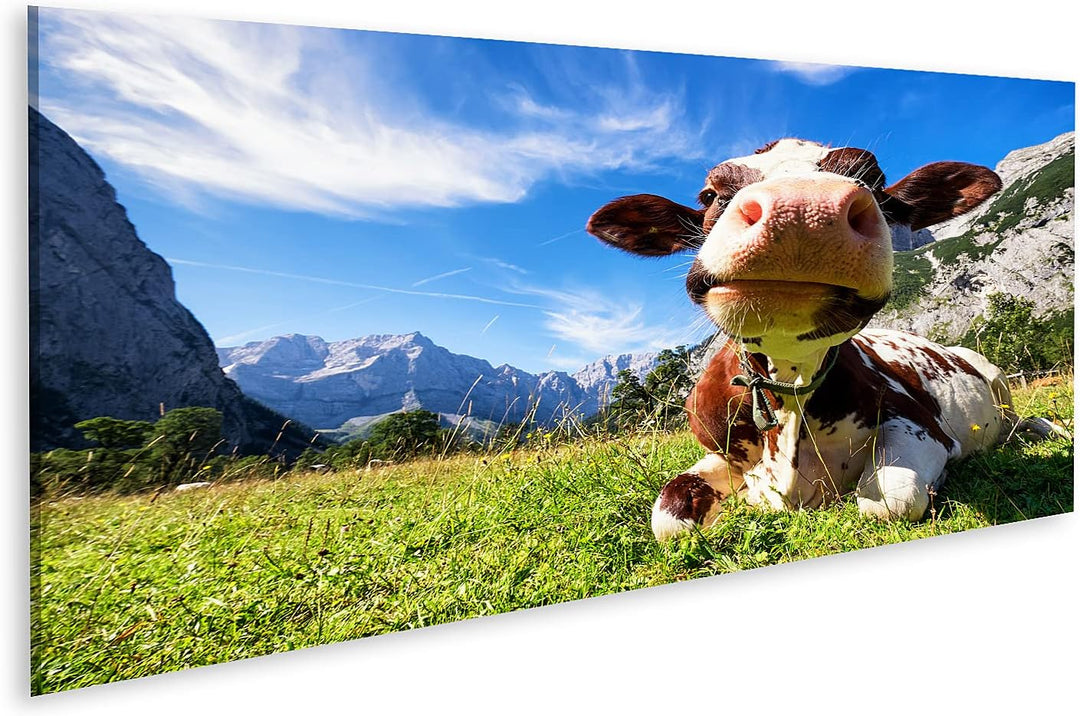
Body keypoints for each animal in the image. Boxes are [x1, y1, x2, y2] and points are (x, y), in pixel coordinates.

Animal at [586, 138, 1062, 541]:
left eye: (874, 179)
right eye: (709, 194)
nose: (803, 209)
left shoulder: (921, 425)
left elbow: (890, 500)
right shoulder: (720, 453)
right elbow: (668, 517)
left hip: (995, 377)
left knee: (1014, 422)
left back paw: (1042, 427)